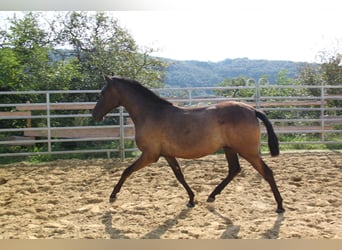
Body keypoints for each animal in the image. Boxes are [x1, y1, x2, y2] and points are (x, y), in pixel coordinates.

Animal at [92, 75, 284, 213]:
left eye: (102, 94)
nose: (94, 115)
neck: (151, 113)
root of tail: (252, 110)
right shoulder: (167, 154)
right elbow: (179, 176)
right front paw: (191, 199)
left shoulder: (150, 155)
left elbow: (127, 171)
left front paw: (113, 196)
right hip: (229, 149)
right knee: (234, 170)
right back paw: (212, 196)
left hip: (248, 151)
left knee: (267, 172)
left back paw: (280, 206)